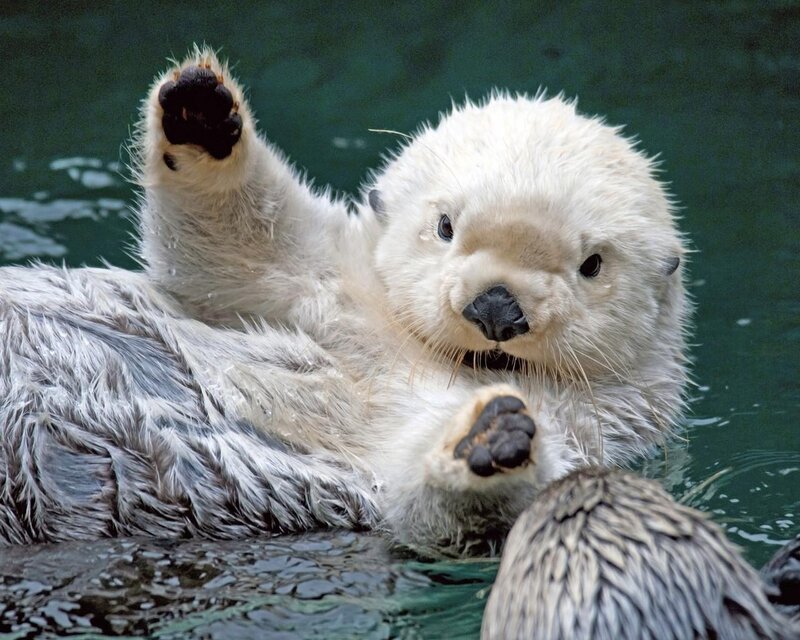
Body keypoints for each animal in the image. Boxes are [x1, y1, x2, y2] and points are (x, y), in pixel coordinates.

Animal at [0, 48, 688, 552]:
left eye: (591, 266)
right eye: (445, 226)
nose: (496, 308)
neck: (425, 358)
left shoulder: (586, 433)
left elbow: (431, 501)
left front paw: (488, 440)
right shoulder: (329, 284)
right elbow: (235, 246)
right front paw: (201, 113)